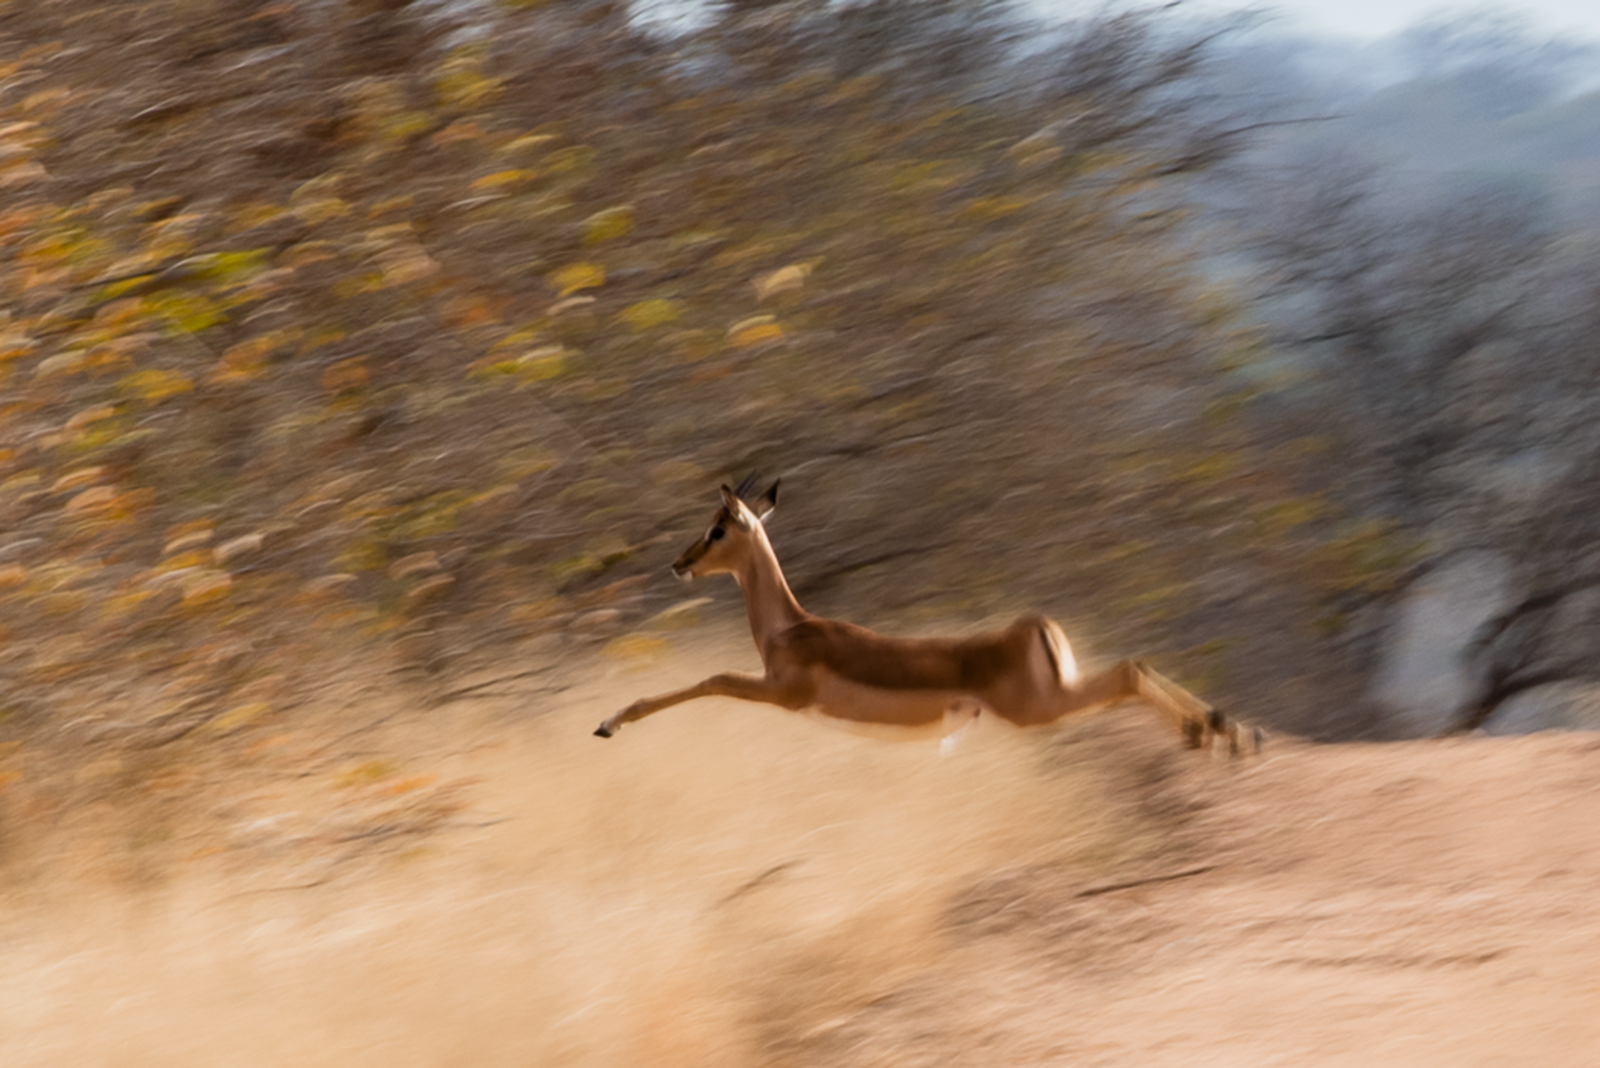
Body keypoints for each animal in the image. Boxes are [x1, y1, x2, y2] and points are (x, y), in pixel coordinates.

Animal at [594, 478, 1261, 756]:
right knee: (1134, 665)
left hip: (1041, 709)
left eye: (717, 528)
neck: (790, 628)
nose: (678, 564)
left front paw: (609, 722)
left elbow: (710, 680)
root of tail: (1035, 628)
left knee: (1129, 672)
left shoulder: (780, 693)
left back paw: (1215, 733)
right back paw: (1227, 732)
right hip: (1059, 695)